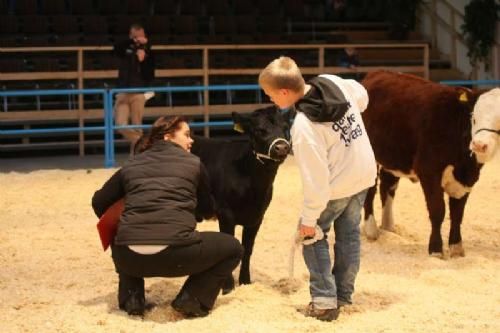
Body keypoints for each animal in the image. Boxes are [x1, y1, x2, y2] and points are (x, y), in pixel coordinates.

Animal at [191, 106, 292, 290]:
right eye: (259, 130)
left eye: (286, 128)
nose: (281, 148)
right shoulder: (225, 214)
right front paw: (228, 286)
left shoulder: (257, 217)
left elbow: (247, 249)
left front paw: (245, 281)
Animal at [362, 70, 498, 256]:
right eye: (473, 117)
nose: (479, 144)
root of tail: (377, 72)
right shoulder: (429, 171)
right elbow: (438, 210)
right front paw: (435, 249)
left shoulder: (467, 179)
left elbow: (457, 213)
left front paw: (456, 248)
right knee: (370, 189)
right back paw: (371, 229)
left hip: (394, 156)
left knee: (387, 186)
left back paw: (388, 227)